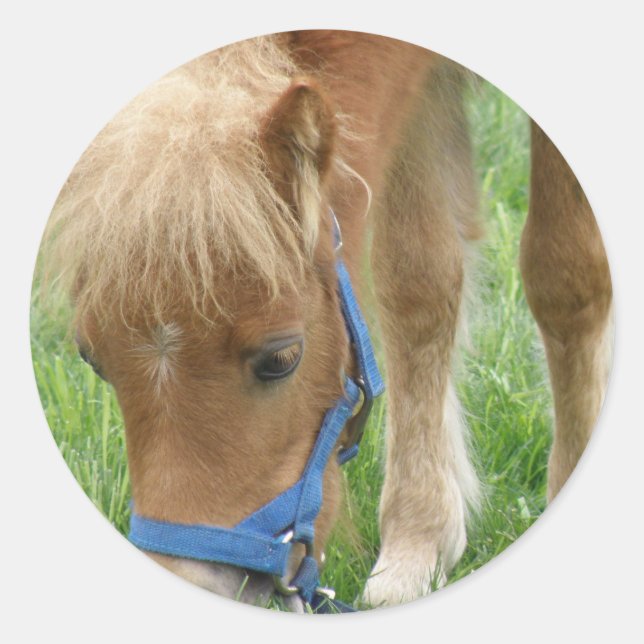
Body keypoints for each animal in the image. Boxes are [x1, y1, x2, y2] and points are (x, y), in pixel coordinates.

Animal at [40, 30, 613, 611]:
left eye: (281, 359)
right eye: (93, 359)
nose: (194, 583)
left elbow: (565, 274)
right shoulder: (416, 88)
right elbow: (419, 282)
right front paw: (419, 545)